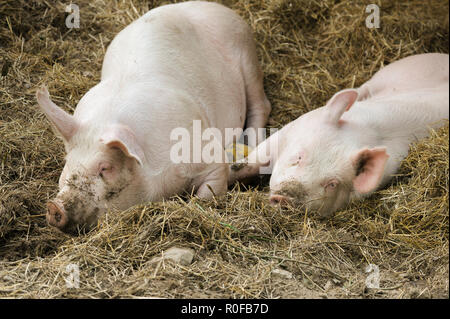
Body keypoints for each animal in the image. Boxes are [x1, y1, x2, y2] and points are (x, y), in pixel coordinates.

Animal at [35, 0, 270, 235]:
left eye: (105, 168)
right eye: (68, 163)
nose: (54, 207)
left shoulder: (209, 157)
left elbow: (209, 192)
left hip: (247, 56)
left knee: (261, 105)